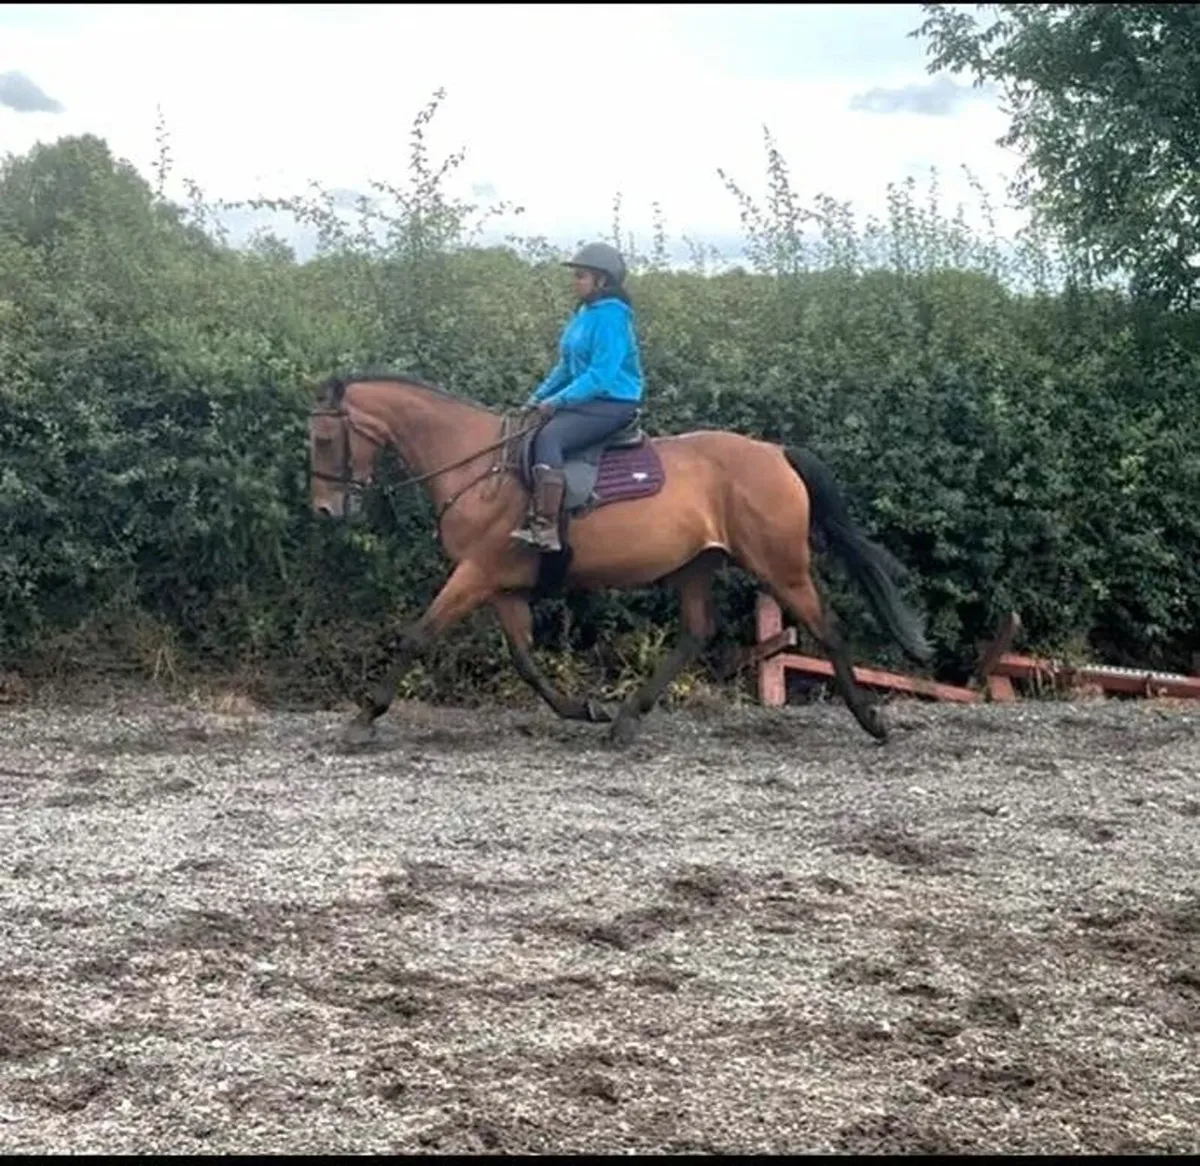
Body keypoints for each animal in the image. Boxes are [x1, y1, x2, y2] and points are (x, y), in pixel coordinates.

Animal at [307, 371, 932, 748]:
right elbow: (525, 659)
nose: (324, 510)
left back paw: (872, 721)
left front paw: (364, 716)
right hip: (698, 565)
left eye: (323, 440)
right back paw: (628, 718)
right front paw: (582, 709)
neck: (477, 468)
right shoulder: (502, 585)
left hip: (779, 566)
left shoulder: (475, 574)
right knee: (696, 632)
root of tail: (775, 452)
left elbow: (418, 635)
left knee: (828, 627)